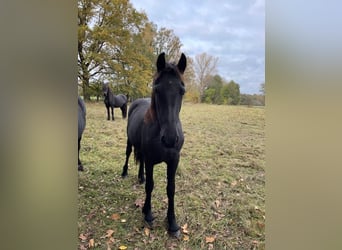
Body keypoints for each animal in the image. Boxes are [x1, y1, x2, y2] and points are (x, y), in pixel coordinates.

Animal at [121, 52, 187, 236]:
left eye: (182, 91)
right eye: (157, 89)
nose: (170, 138)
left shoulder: (174, 160)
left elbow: (171, 189)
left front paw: (172, 223)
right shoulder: (151, 160)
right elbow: (150, 186)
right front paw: (148, 213)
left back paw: (140, 176)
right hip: (129, 141)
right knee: (128, 153)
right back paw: (125, 172)